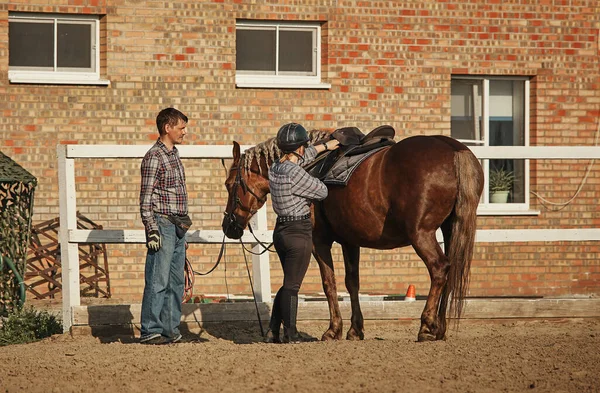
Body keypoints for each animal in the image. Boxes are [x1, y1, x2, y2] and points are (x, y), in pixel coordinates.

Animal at [223, 132, 486, 340]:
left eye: (228, 184)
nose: (229, 226)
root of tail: (454, 149)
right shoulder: (350, 241)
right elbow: (352, 283)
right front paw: (354, 330)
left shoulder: (318, 242)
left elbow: (329, 284)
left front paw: (333, 330)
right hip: (450, 230)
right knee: (451, 272)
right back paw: (440, 328)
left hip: (421, 234)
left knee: (439, 269)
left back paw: (426, 326)